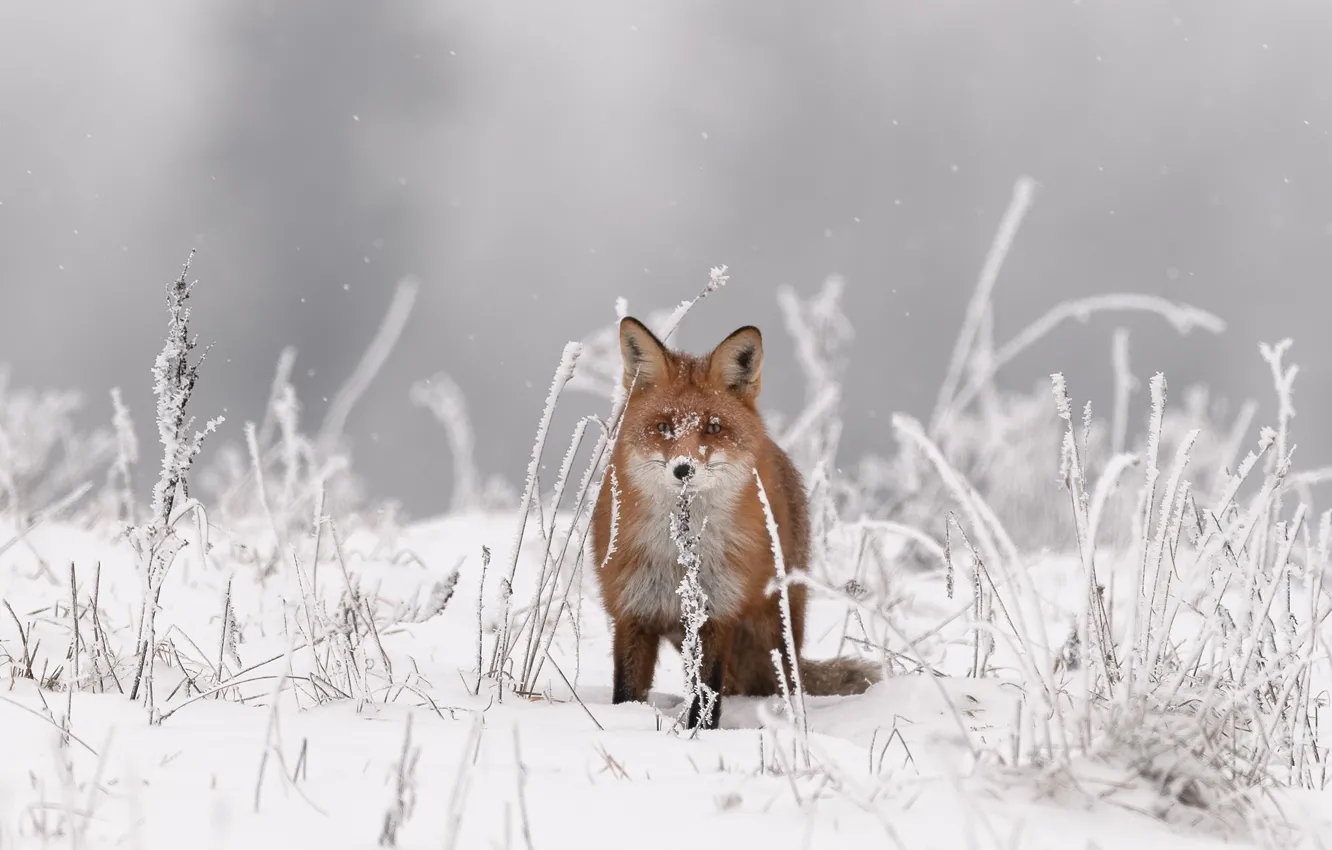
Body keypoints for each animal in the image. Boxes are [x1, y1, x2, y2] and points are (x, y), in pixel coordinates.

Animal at [591, 316, 881, 730]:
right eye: (663, 427)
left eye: (713, 428)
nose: (683, 469)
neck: (677, 555)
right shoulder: (632, 610)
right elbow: (627, 690)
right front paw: (626, 720)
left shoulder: (717, 612)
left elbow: (706, 694)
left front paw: (700, 734)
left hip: (771, 628)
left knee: (775, 679)